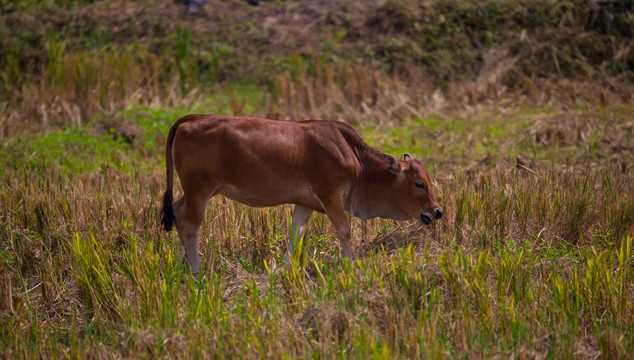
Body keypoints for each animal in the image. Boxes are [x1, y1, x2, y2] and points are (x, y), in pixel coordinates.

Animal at [160, 114, 442, 272]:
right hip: (200, 189)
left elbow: (296, 236)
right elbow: (344, 231)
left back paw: (185, 263)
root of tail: (192, 118)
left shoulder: (305, 204)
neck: (355, 159)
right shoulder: (330, 194)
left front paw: (284, 271)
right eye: (419, 183)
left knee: (177, 211)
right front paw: (352, 266)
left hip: (195, 191)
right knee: (190, 225)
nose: (438, 210)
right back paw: (197, 270)